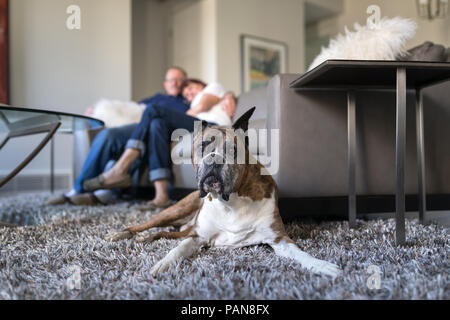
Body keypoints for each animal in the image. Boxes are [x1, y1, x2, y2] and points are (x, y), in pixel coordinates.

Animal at [107, 108, 342, 278]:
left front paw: (321, 265)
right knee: (147, 225)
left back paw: (144, 238)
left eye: (233, 150)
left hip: (183, 226)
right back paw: (122, 234)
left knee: (164, 232)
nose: (214, 159)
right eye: (203, 145)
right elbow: (177, 250)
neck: (230, 203)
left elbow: (299, 253)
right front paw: (163, 263)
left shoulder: (279, 239)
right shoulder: (197, 237)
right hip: (175, 210)